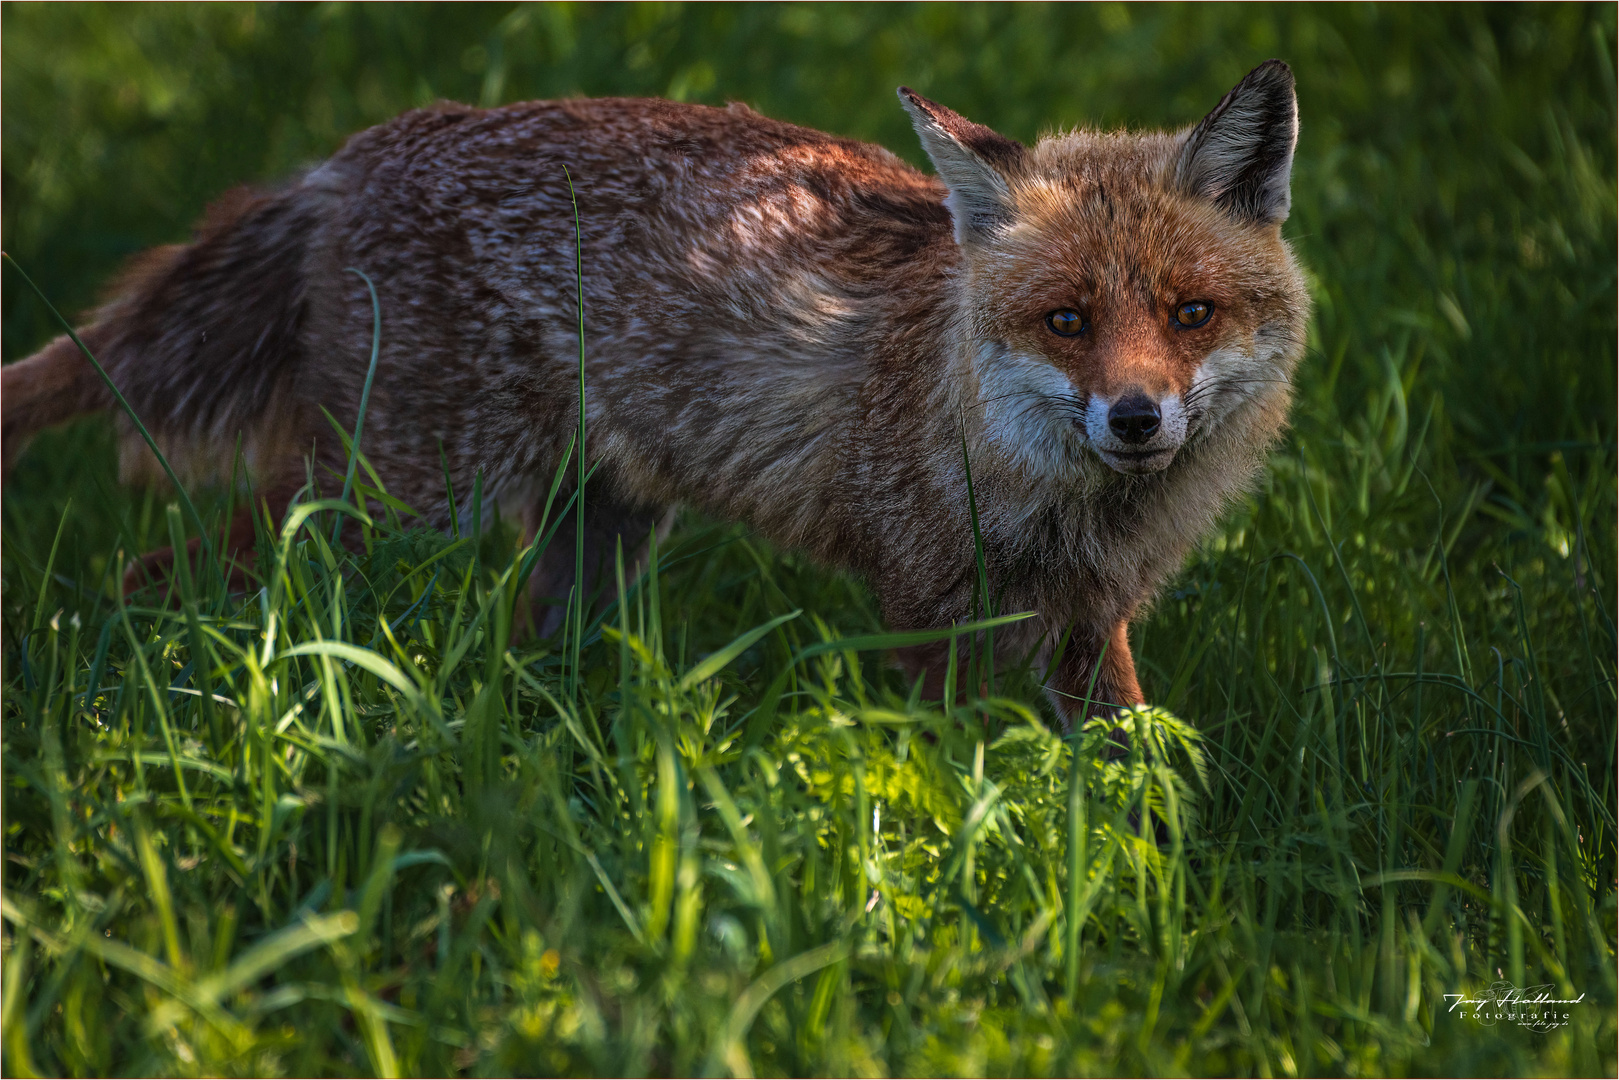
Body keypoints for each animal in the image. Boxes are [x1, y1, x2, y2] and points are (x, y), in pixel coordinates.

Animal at [0, 63, 1308, 731]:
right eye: (1065, 321)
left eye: (1189, 315)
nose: (1134, 419)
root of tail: (359, 150)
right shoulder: (925, 600)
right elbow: (957, 765)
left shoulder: (1093, 621)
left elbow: (1131, 771)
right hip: (390, 505)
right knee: (158, 573)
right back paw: (140, 688)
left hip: (592, 540)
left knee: (542, 663)